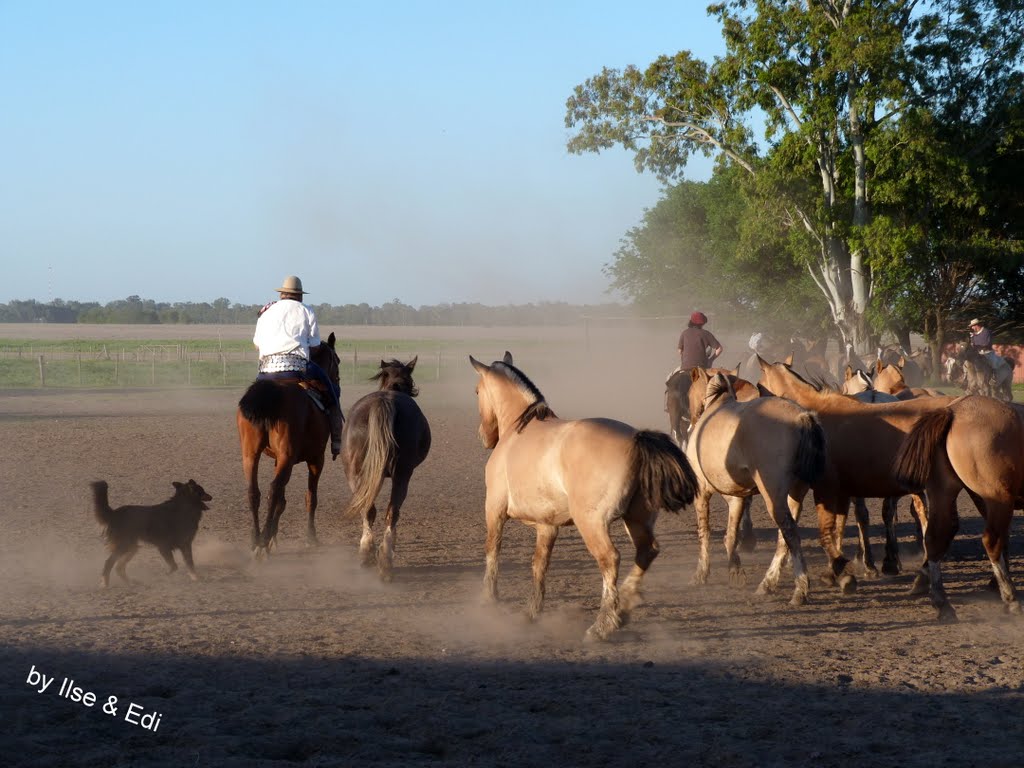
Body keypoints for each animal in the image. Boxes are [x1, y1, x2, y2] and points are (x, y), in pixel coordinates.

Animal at [235, 333, 339, 557]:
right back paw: (263, 540)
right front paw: (311, 537)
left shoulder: (278, 460)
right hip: (288, 456)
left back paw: (256, 539)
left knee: (254, 492)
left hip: (251, 454)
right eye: (337, 361)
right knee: (273, 490)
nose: (336, 381)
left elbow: (282, 501)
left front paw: (274, 538)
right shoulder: (316, 459)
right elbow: (311, 497)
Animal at [339, 358, 428, 581]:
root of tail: (384, 402)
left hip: (356, 473)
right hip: (402, 475)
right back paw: (385, 560)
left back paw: (367, 553)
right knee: (392, 512)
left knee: (368, 509)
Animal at [468, 352, 696, 638]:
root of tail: (636, 439)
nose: (484, 437)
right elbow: (539, 565)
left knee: (610, 560)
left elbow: (492, 551)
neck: (517, 431)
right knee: (647, 551)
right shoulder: (547, 525)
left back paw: (603, 625)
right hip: (636, 519)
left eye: (477, 391)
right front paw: (532, 612)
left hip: (591, 523)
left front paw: (488, 600)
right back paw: (624, 606)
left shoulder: (495, 510)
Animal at [684, 372, 827, 606]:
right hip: (795, 493)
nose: (692, 417)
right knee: (783, 538)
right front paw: (735, 571)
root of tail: (801, 418)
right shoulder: (737, 498)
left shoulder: (702, 493)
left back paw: (799, 590)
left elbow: (704, 532)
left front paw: (701, 574)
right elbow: (731, 535)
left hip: (773, 495)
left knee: (790, 535)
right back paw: (767, 584)